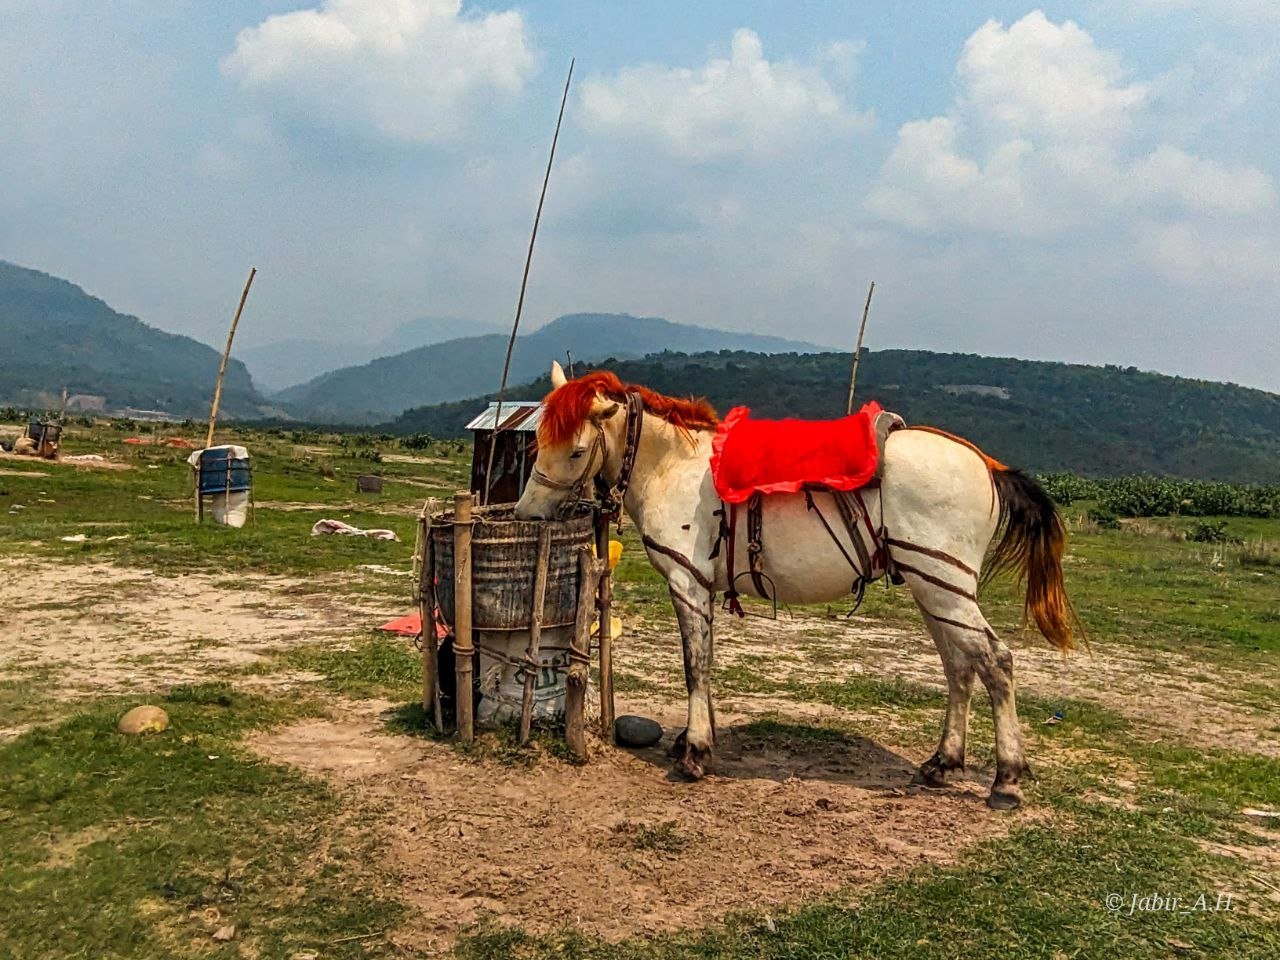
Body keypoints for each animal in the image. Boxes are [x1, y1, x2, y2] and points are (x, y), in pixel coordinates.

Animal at [514, 362, 1078, 809]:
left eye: (576, 452)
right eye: (539, 441)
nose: (526, 515)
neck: (671, 467)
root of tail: (986, 463)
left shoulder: (686, 582)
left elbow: (694, 664)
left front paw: (694, 754)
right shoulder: (703, 589)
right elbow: (706, 661)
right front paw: (698, 740)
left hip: (945, 585)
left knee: (996, 661)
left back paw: (1006, 781)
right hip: (932, 589)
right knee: (961, 666)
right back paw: (943, 763)